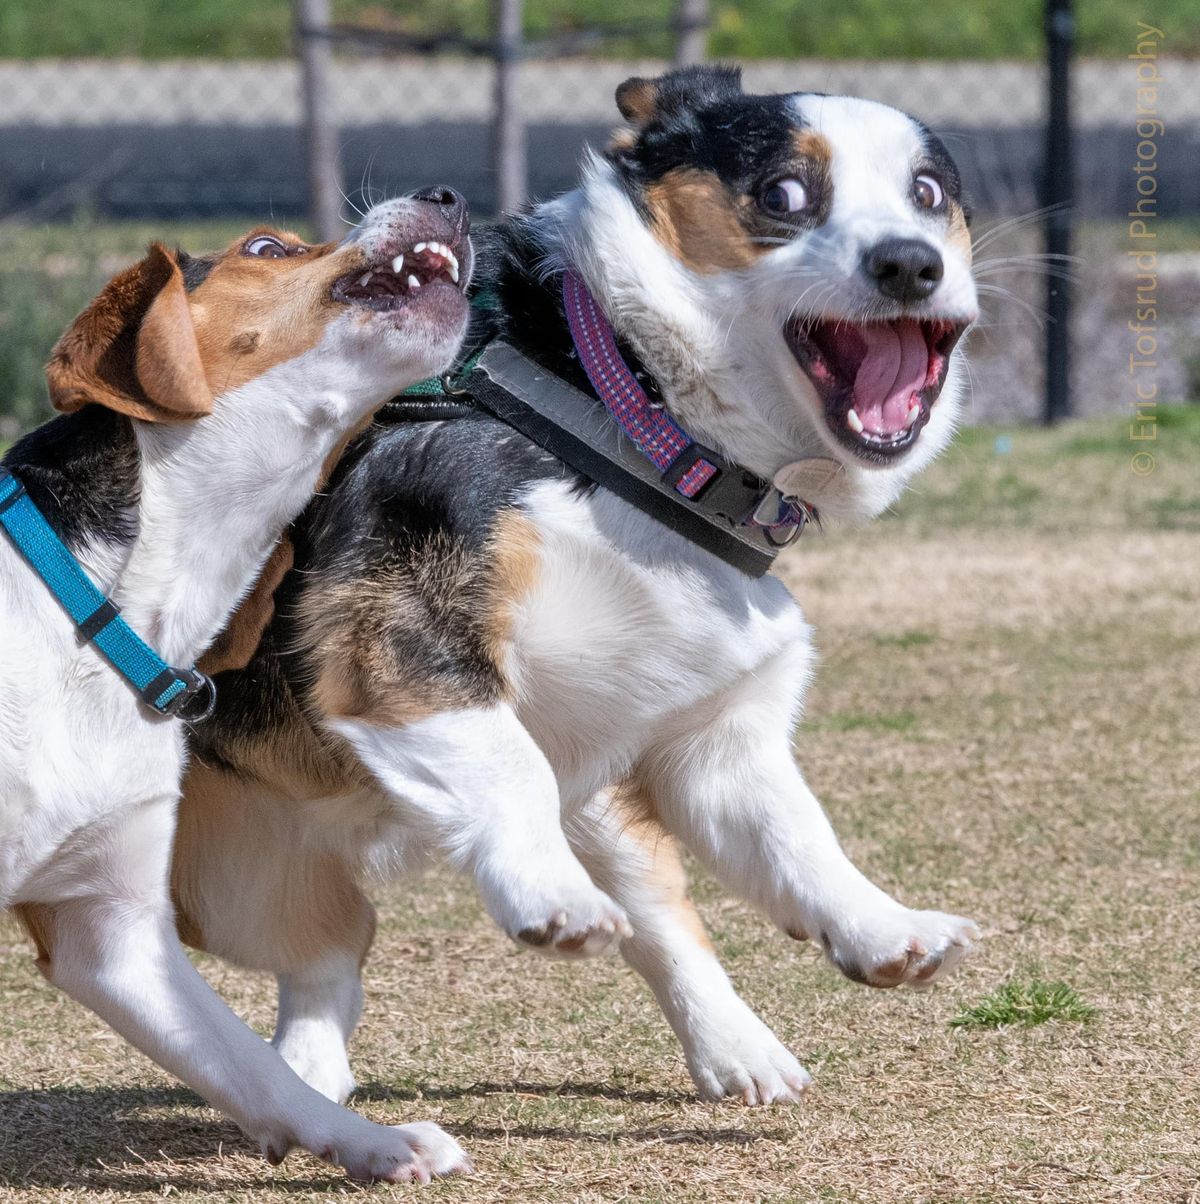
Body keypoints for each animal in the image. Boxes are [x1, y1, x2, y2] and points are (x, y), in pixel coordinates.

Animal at [1, 192, 476, 1179]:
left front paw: (374, 1145)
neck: (94, 611)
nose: (447, 198)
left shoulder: (111, 931)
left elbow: (252, 1070)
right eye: (266, 247)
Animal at [175, 63, 982, 1117]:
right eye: (784, 195)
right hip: (217, 877)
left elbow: (796, 834)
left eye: (928, 195)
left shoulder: (707, 741)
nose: (910, 267)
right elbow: (504, 767)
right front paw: (546, 900)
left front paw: (884, 928)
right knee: (327, 946)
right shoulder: (400, 635)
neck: (622, 408)